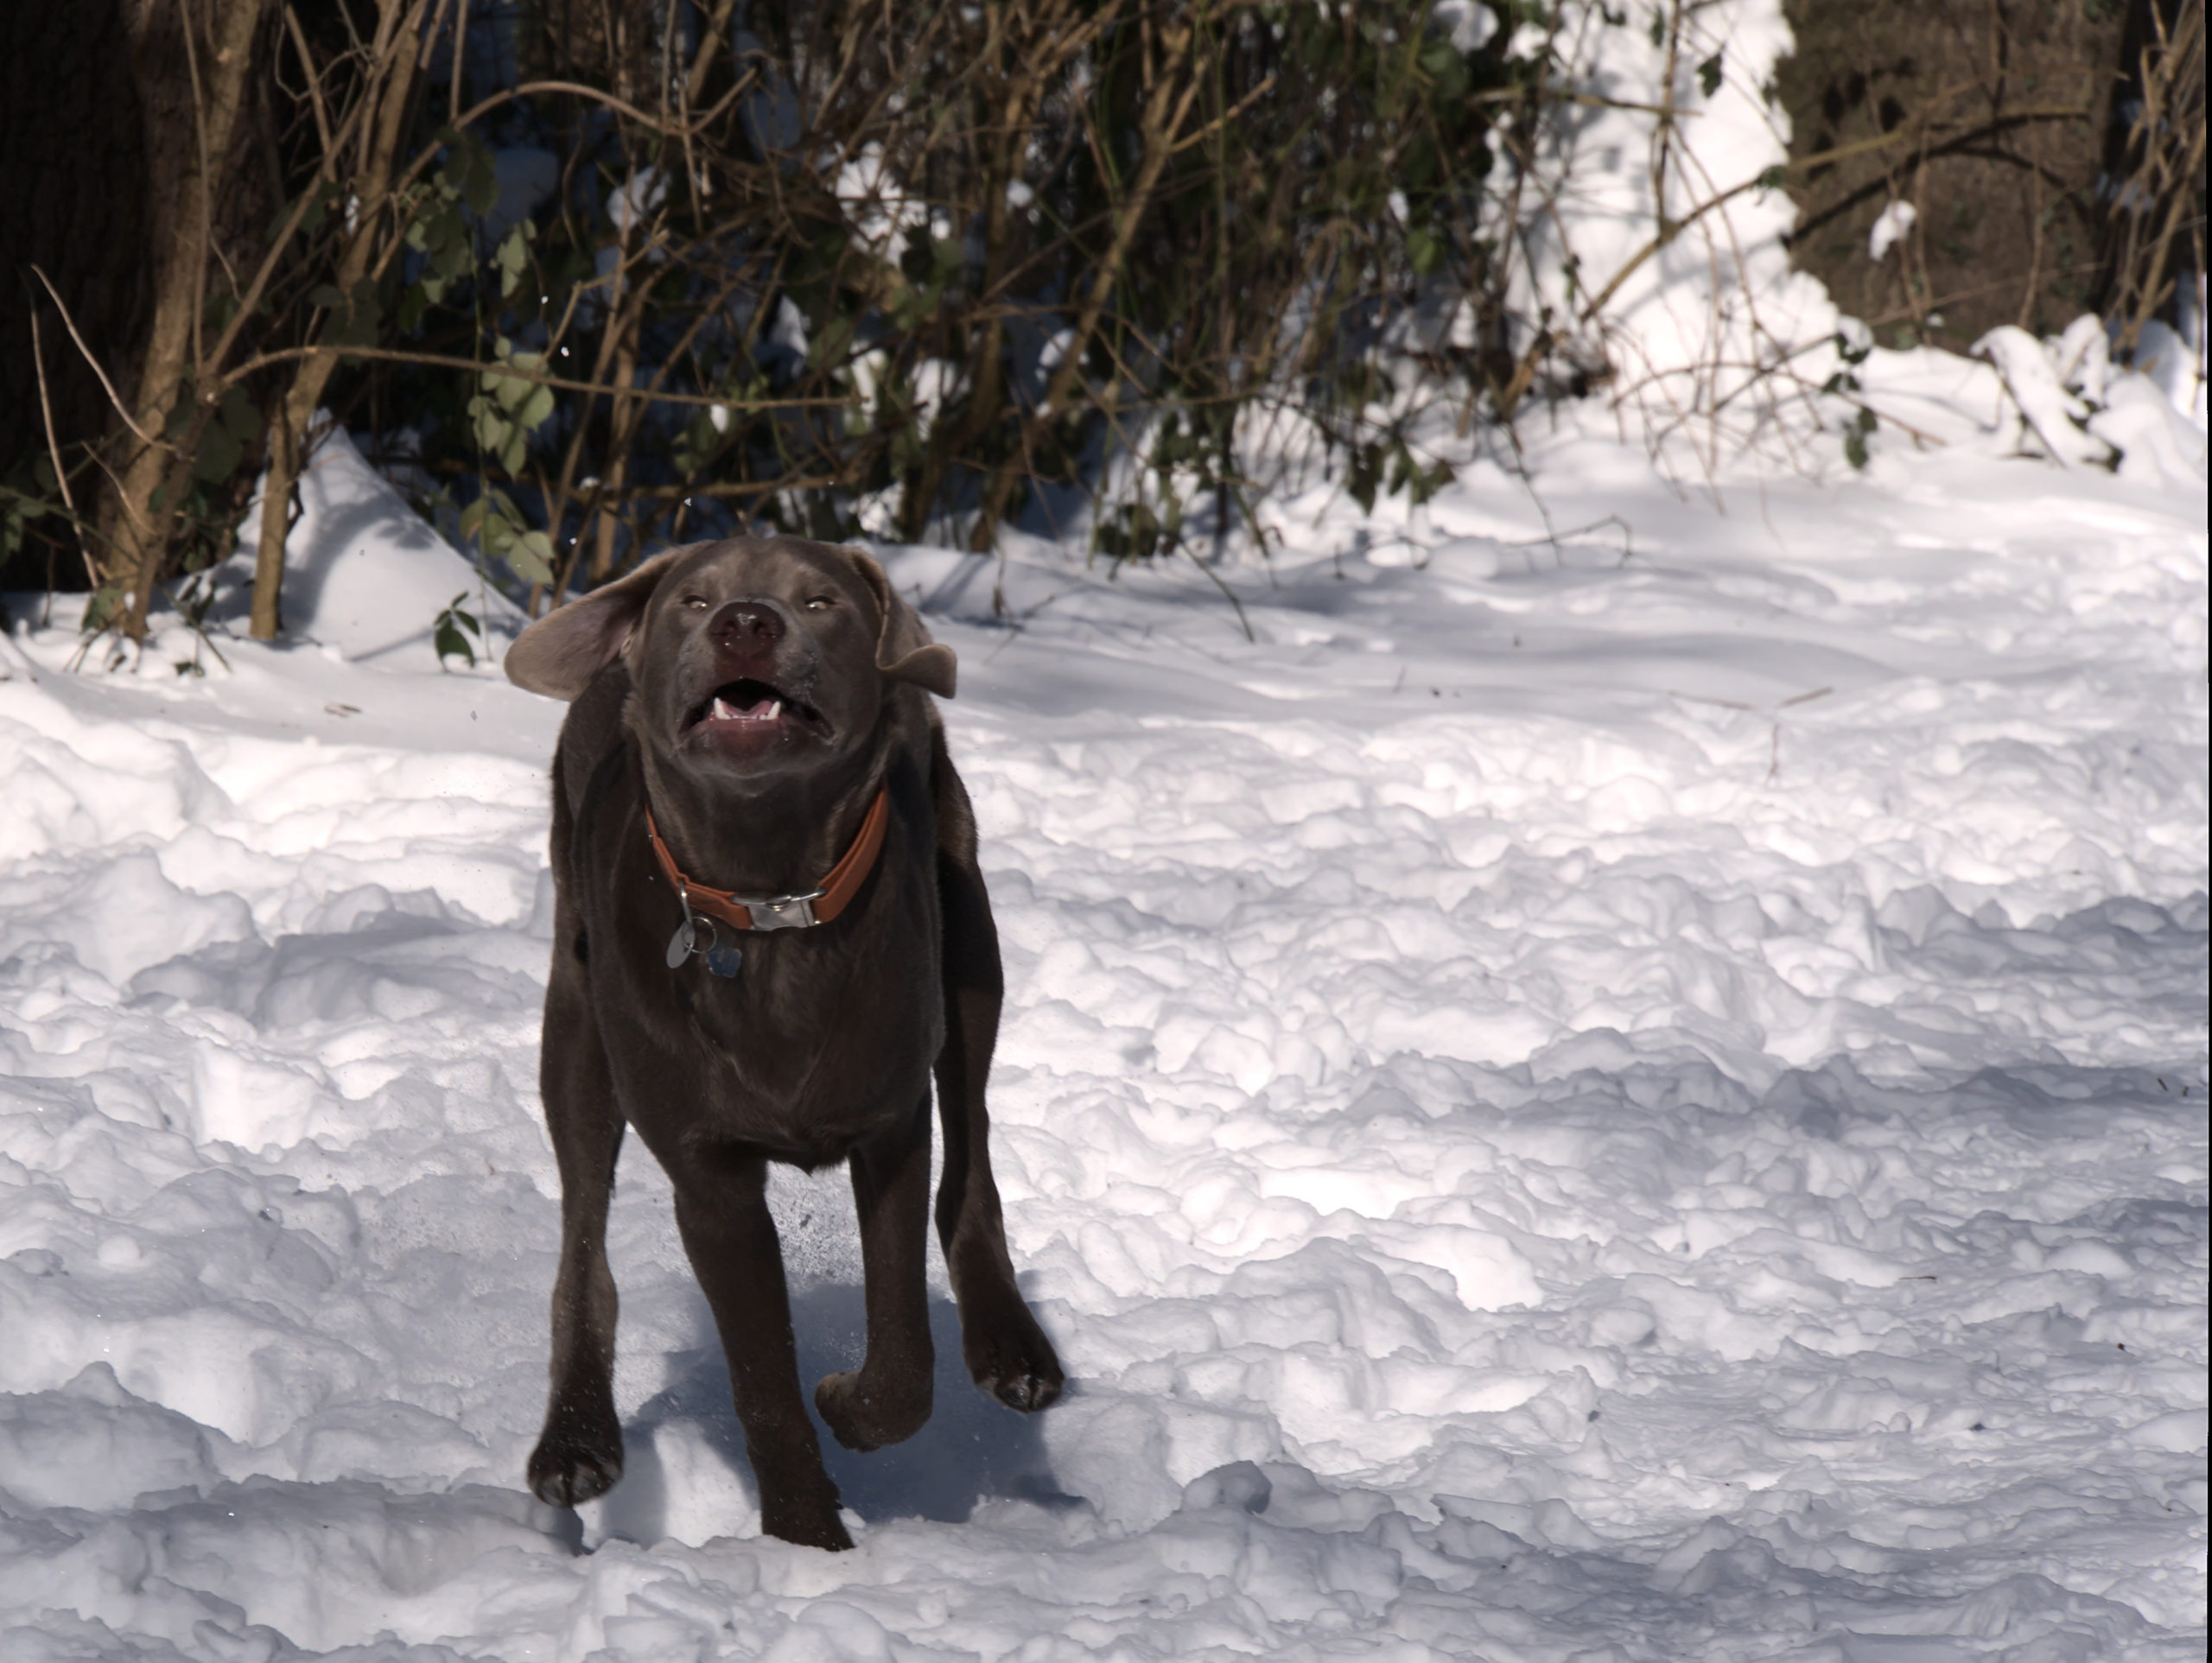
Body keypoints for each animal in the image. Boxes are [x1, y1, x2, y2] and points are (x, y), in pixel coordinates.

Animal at [503, 535, 1063, 1550]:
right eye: (692, 600)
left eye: (819, 600)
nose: (746, 623)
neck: (767, 900)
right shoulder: (709, 1173)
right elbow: (761, 1376)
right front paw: (806, 1539)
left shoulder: (890, 1121)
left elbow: (903, 1349)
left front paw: (848, 1408)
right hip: (577, 1020)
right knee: (582, 1238)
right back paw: (576, 1440)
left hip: (968, 939)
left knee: (970, 1153)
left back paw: (1012, 1346)